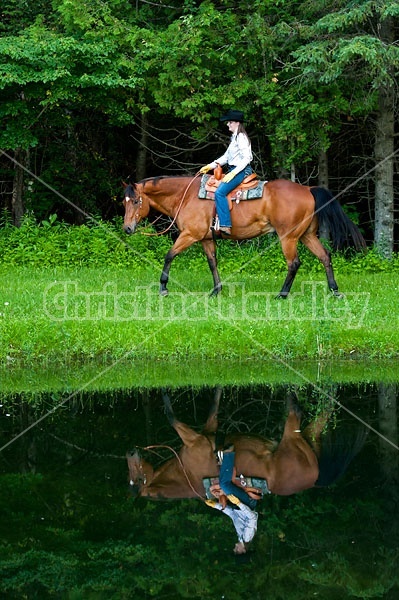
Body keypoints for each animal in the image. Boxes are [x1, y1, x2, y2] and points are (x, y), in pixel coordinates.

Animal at [123, 176, 368, 298]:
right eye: (123, 202)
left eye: (135, 201)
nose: (127, 228)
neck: (186, 195)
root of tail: (308, 189)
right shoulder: (206, 239)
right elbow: (212, 263)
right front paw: (216, 290)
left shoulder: (190, 235)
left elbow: (169, 256)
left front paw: (163, 288)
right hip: (306, 235)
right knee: (325, 256)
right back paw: (334, 291)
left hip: (288, 237)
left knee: (294, 263)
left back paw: (282, 294)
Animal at [126, 386, 368, 500]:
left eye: (136, 479)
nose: (130, 452)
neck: (187, 473)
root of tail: (314, 480)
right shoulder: (204, 433)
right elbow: (210, 405)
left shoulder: (197, 437)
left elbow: (174, 415)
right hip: (304, 436)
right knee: (318, 410)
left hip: (295, 435)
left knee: (305, 407)